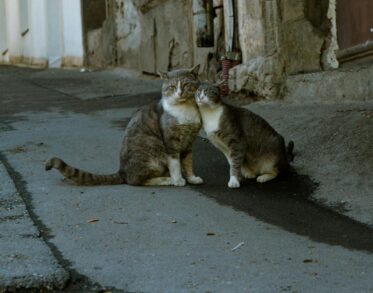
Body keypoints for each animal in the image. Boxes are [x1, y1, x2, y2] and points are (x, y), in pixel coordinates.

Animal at [46, 65, 205, 186]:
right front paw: (178, 179)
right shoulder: (170, 142)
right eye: (172, 87)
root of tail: (121, 171)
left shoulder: (189, 142)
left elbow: (188, 162)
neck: (185, 110)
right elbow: (175, 163)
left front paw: (192, 178)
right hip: (152, 152)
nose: (179, 93)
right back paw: (167, 180)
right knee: (136, 181)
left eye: (186, 84)